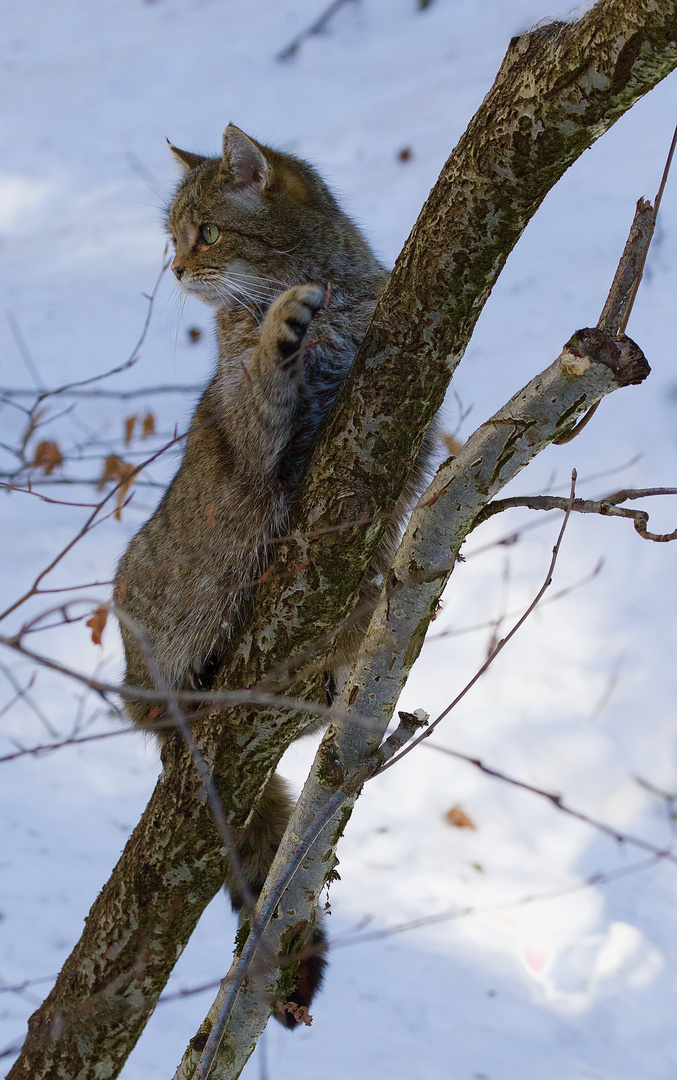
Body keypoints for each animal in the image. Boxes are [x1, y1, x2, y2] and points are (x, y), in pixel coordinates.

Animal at [112, 126, 429, 1028]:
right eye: (173, 234)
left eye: (207, 232)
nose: (177, 267)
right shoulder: (257, 434)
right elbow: (257, 381)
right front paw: (278, 329)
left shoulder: (411, 435)